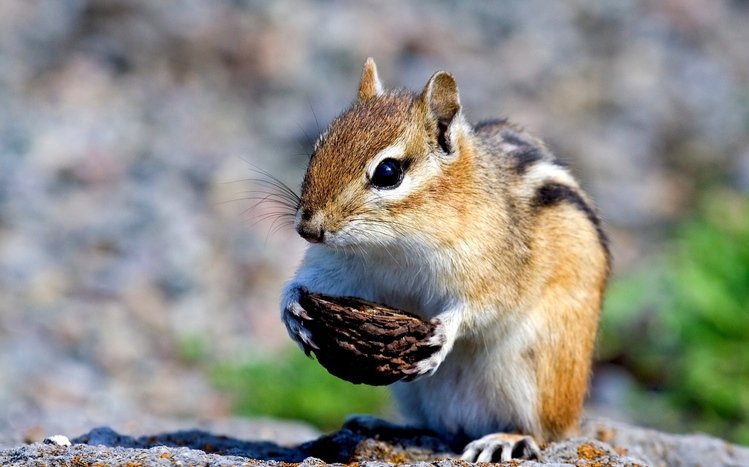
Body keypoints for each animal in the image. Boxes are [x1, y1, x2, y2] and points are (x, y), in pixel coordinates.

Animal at [280, 58, 610, 462]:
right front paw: (292, 309)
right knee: (436, 428)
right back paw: (383, 425)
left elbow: (483, 306)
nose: (307, 228)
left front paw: (444, 333)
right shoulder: (337, 267)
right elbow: (306, 282)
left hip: (535, 375)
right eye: (317, 148)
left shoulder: (493, 266)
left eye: (388, 172)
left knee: (546, 433)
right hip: (412, 391)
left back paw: (505, 439)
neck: (392, 245)